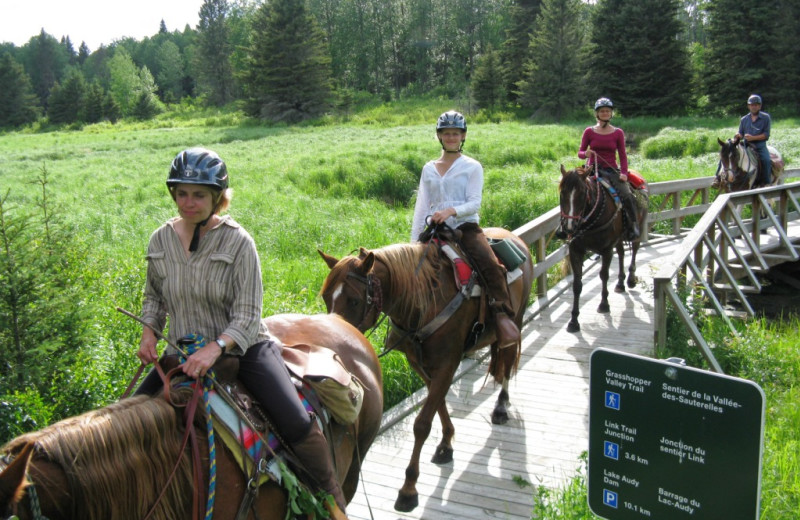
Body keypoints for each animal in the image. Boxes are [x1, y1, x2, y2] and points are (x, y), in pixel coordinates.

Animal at [318, 228, 532, 512]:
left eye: (353, 300)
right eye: (325, 297)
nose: (335, 338)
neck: (424, 299)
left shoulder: (448, 362)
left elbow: (421, 424)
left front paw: (408, 489)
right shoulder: (418, 362)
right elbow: (437, 401)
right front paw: (446, 444)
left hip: (516, 318)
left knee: (507, 362)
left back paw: (500, 406)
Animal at [556, 166, 648, 334]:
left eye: (582, 193)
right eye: (562, 192)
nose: (569, 227)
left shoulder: (606, 249)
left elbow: (604, 275)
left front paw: (604, 304)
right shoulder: (575, 251)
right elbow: (577, 285)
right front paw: (573, 321)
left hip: (638, 228)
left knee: (634, 250)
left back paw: (630, 279)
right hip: (618, 239)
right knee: (621, 253)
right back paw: (620, 283)